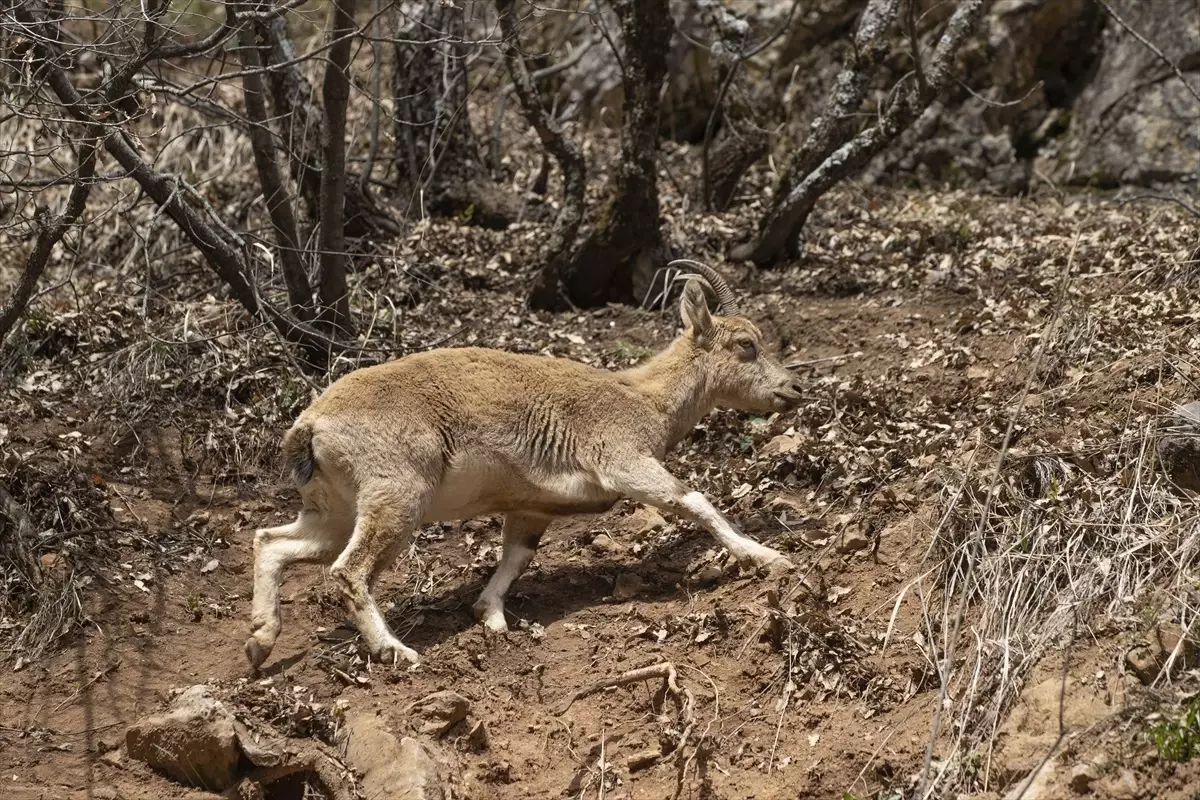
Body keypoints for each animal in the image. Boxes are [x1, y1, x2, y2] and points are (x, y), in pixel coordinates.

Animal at [244, 261, 801, 671]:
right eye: (745, 344)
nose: (793, 389)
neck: (643, 399)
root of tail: (310, 426)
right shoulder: (623, 459)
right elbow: (694, 500)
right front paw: (767, 557)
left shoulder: (532, 507)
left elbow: (516, 556)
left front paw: (489, 616)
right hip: (396, 495)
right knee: (347, 570)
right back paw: (395, 650)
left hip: (334, 509)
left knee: (273, 542)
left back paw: (260, 641)